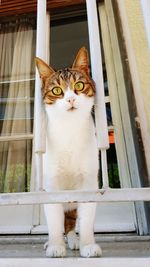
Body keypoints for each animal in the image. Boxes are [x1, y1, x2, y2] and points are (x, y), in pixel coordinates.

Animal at [34, 47, 102, 258]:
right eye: (57, 90)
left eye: (79, 85)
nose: (71, 98)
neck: (70, 130)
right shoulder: (51, 185)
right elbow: (54, 221)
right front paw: (55, 245)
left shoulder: (89, 181)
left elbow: (86, 219)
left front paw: (88, 245)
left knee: (71, 221)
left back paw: (74, 240)